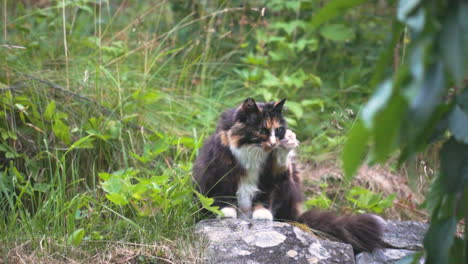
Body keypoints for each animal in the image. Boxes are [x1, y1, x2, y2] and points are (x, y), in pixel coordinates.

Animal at [193, 97, 384, 252]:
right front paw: (226, 211)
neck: (252, 151)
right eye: (262, 130)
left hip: (289, 183)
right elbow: (225, 192)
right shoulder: (222, 169)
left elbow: (265, 195)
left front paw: (262, 214)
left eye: (278, 130)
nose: (273, 143)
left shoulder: (269, 175)